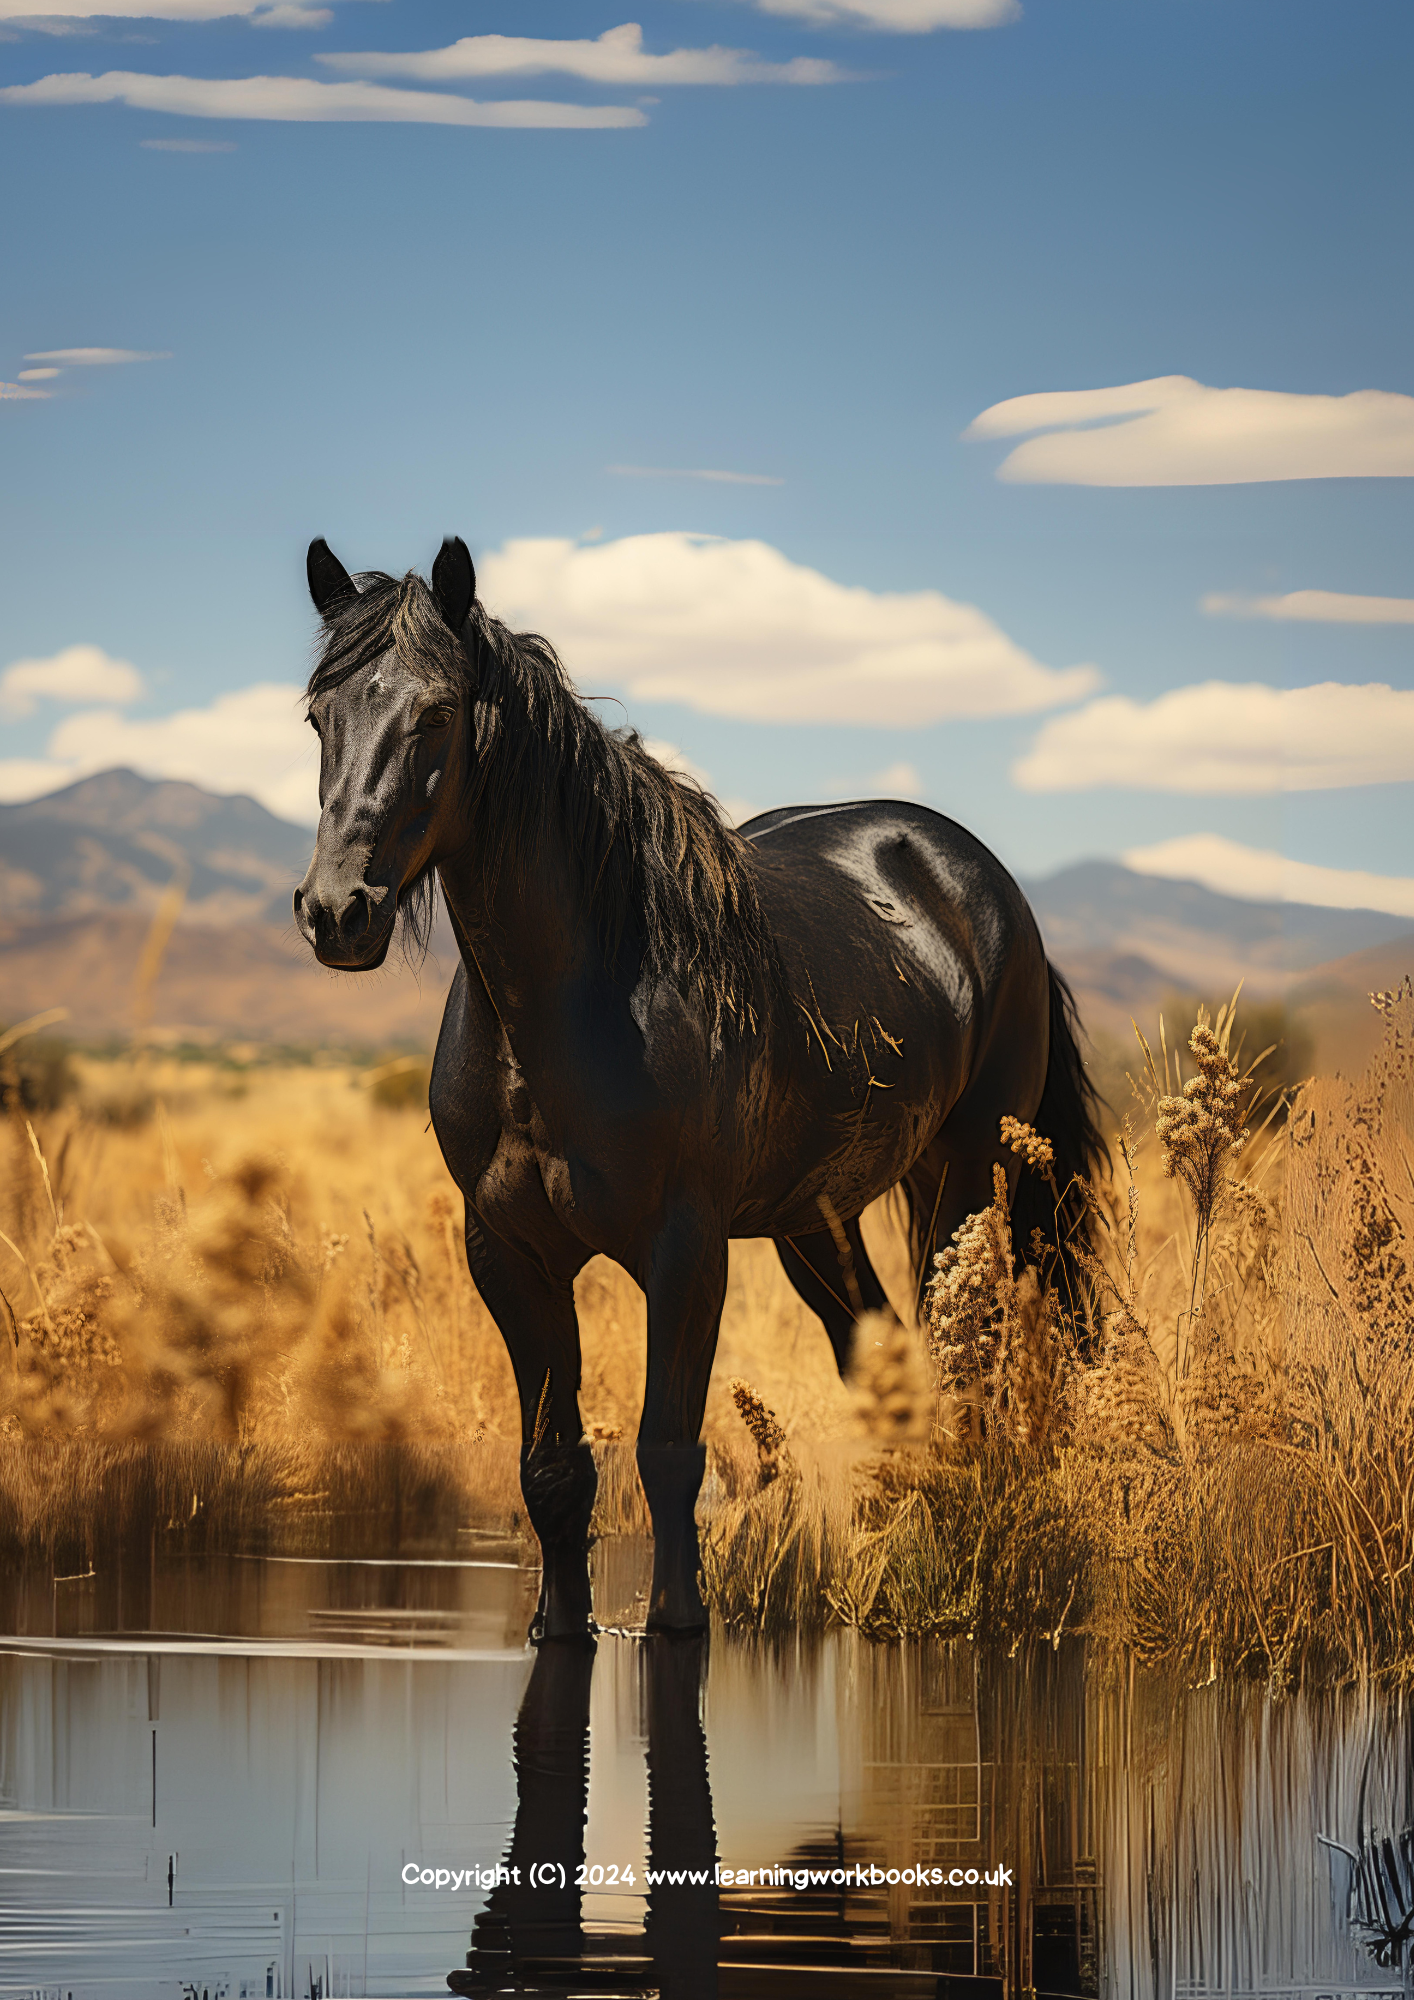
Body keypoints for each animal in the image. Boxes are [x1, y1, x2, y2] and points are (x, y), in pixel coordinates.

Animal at [293, 535, 1105, 1640]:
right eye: (318, 716)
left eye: (438, 712)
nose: (338, 911)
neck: (569, 1007)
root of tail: (978, 879)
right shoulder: (508, 1253)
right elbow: (552, 1468)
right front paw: (560, 1624)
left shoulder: (685, 1250)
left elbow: (668, 1451)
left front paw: (680, 1621)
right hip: (818, 1222)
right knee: (886, 1360)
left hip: (966, 1183)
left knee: (966, 1367)